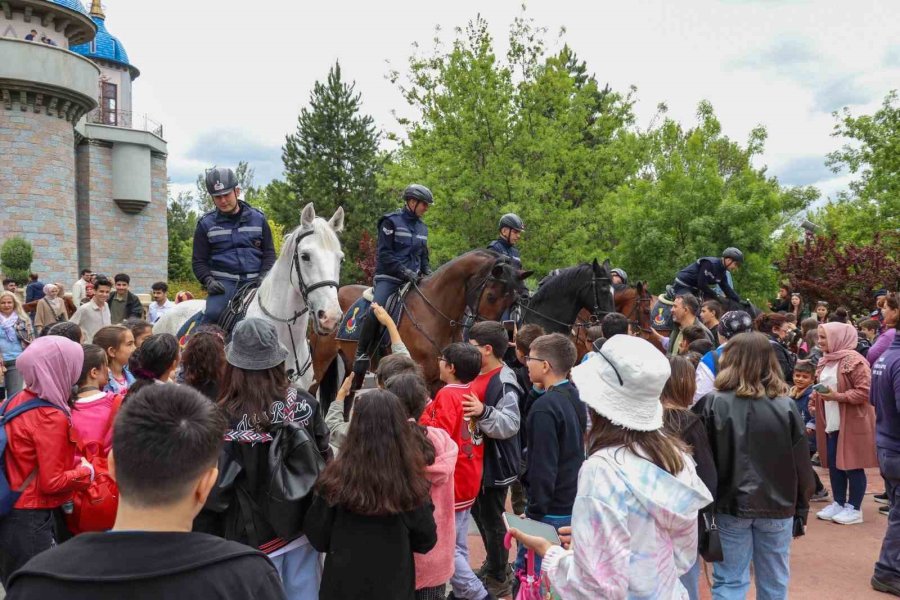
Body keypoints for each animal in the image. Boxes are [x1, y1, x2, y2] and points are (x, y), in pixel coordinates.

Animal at [312, 246, 532, 406]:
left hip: (350, 367)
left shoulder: (442, 378)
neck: (435, 312)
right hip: (320, 360)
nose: (489, 335)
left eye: (513, 300)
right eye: (491, 296)